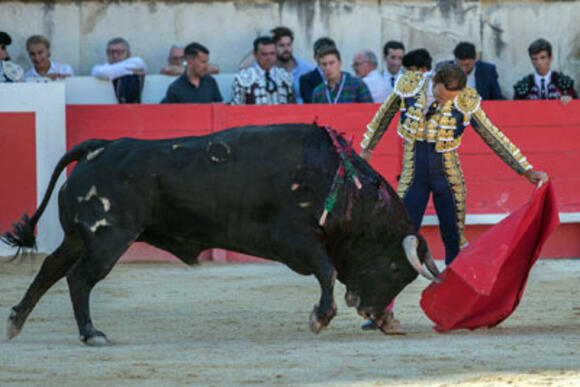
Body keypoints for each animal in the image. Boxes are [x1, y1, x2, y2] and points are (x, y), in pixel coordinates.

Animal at [1, 124, 440, 346]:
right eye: (394, 269)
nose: (379, 317)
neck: (341, 184)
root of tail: (100, 147)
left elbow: (327, 271)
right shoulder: (296, 238)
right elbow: (327, 270)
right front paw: (320, 318)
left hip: (80, 236)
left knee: (51, 269)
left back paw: (17, 322)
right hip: (108, 239)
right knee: (78, 278)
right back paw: (91, 334)